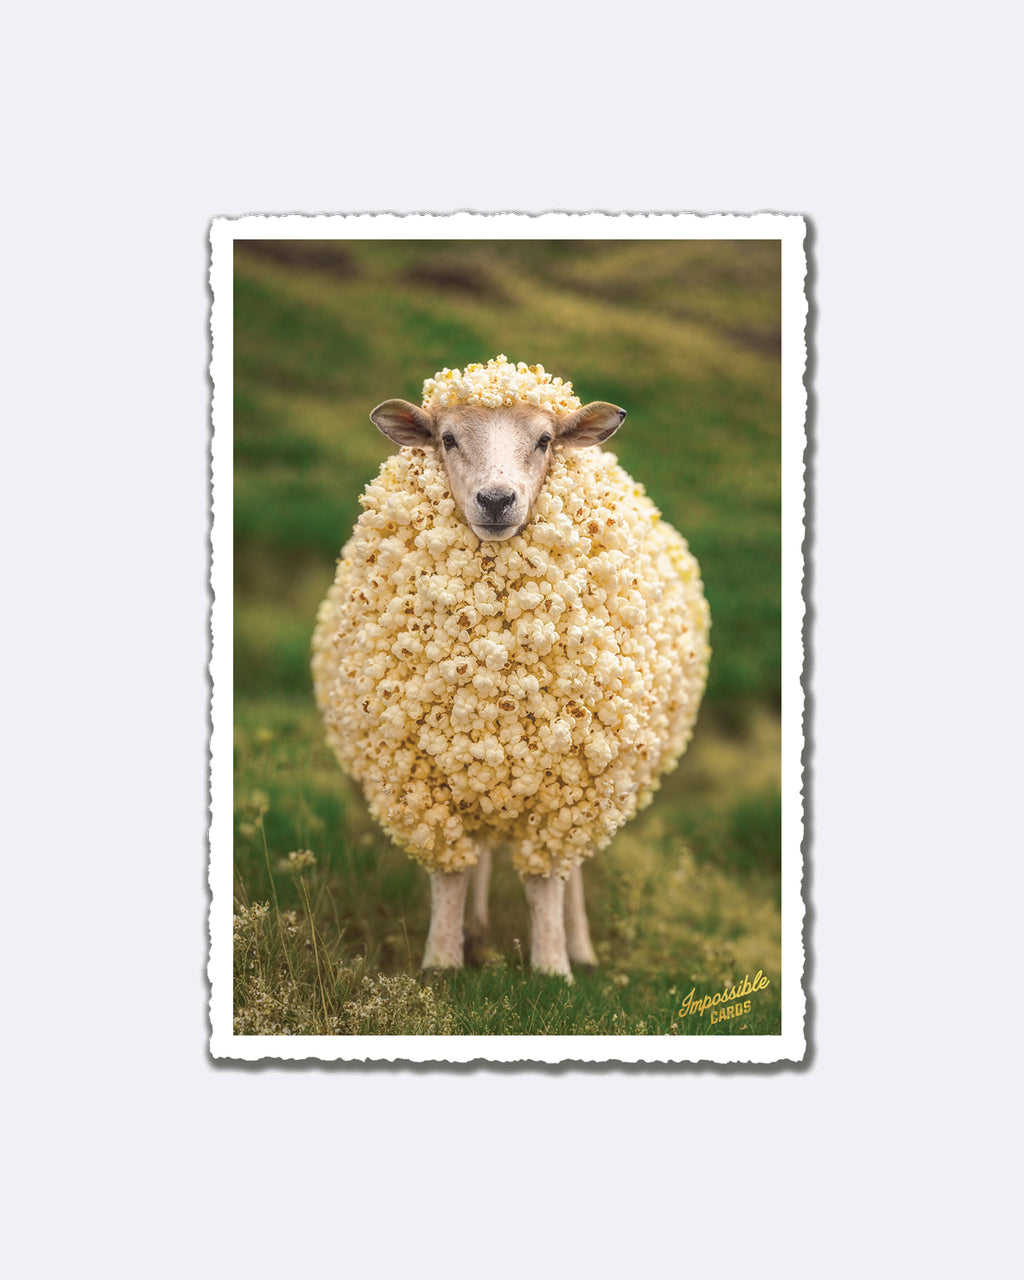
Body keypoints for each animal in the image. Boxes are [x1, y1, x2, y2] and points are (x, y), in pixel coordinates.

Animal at [312, 356, 710, 980]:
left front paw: (552, 969)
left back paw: (579, 947)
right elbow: (450, 874)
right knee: (479, 849)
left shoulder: (567, 787)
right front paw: (442, 964)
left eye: (545, 440)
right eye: (447, 439)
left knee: (569, 871)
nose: (496, 500)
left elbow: (546, 884)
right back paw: (476, 933)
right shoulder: (422, 786)